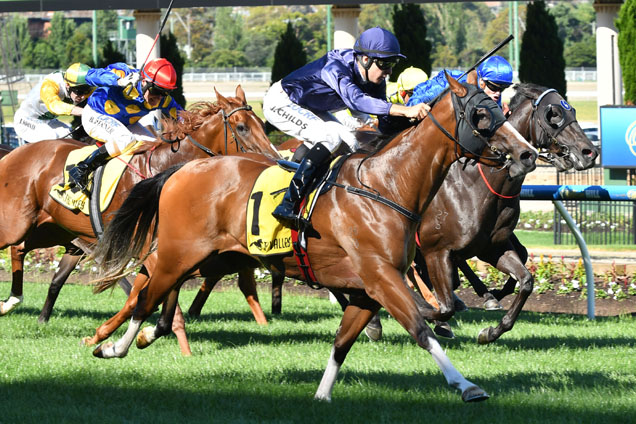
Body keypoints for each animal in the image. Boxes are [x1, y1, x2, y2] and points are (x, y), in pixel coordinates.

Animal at [0, 85, 280, 348]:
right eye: (242, 127)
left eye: (261, 123)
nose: (274, 161)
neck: (162, 170)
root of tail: (12, 154)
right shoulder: (153, 251)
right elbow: (153, 297)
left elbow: (141, 295)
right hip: (17, 224)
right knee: (14, 246)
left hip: (51, 229)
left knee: (21, 249)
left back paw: (12, 302)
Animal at [89, 74, 536, 402]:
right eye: (481, 114)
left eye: (501, 108)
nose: (527, 153)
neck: (387, 185)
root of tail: (181, 170)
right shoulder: (382, 277)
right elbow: (421, 328)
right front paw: (466, 385)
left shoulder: (367, 288)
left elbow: (343, 342)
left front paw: (322, 395)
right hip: (179, 252)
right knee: (146, 295)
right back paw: (111, 345)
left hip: (203, 256)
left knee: (158, 297)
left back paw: (138, 336)